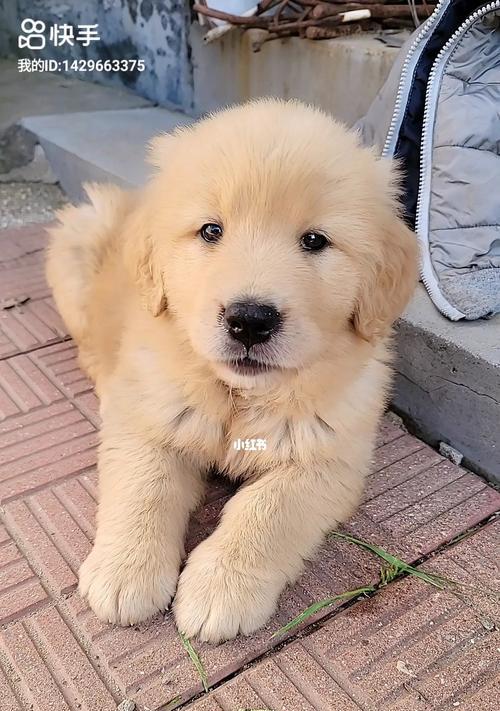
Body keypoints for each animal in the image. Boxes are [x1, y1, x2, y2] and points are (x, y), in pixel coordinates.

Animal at [46, 97, 418, 644]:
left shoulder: (330, 457)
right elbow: (144, 486)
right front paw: (125, 572)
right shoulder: (147, 419)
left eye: (315, 240)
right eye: (210, 231)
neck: (238, 396)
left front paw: (219, 588)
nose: (250, 320)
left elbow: (267, 512)